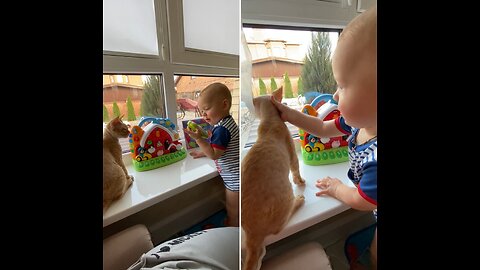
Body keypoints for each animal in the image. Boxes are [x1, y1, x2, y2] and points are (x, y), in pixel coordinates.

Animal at [242, 87, 306, 270]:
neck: (269, 120)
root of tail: (252, 232)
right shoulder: (292, 155)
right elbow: (296, 171)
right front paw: (301, 181)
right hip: (286, 196)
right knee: (279, 226)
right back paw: (298, 200)